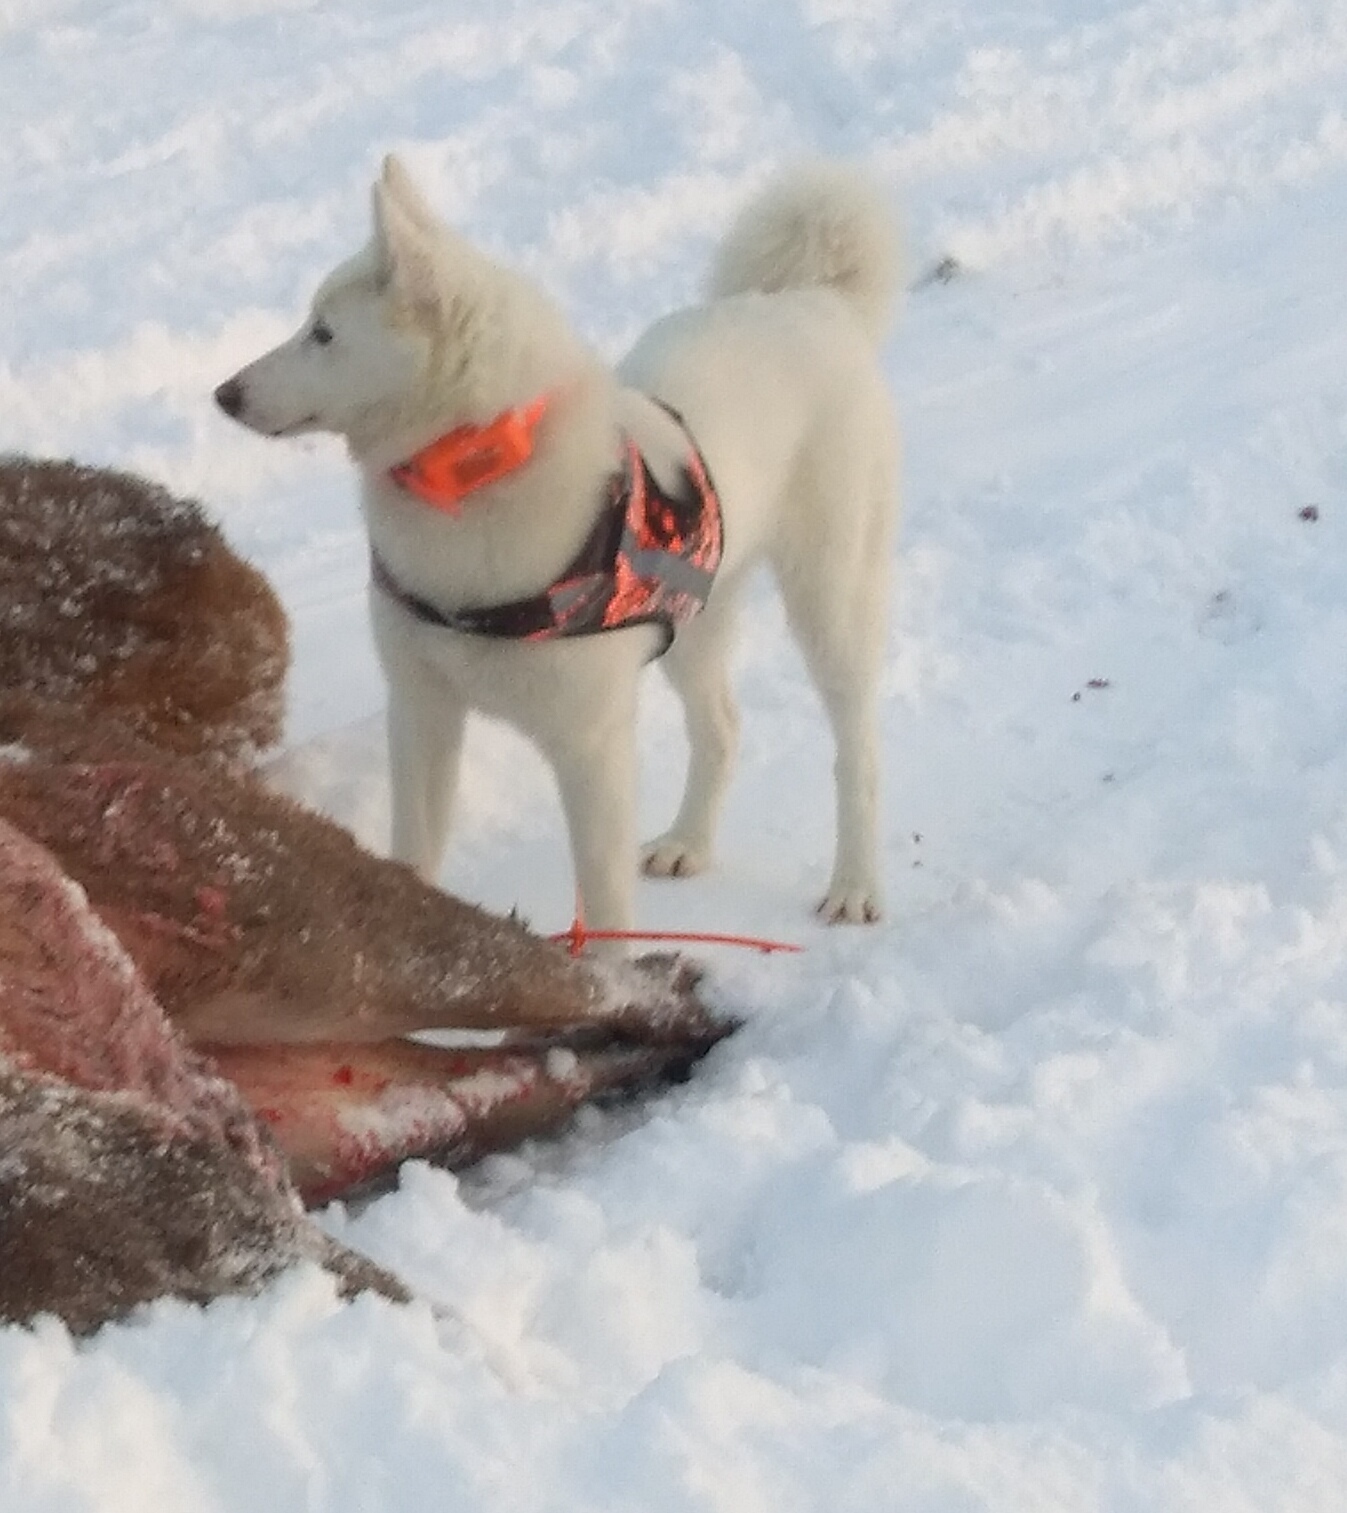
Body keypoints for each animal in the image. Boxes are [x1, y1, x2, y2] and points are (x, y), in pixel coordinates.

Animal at [214, 156, 895, 932]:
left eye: (323, 334)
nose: (223, 395)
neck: (476, 468)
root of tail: (814, 304)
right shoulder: (420, 712)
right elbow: (414, 855)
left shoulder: (590, 746)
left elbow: (602, 906)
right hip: (690, 621)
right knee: (721, 726)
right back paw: (687, 842)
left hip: (829, 601)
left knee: (857, 752)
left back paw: (854, 884)